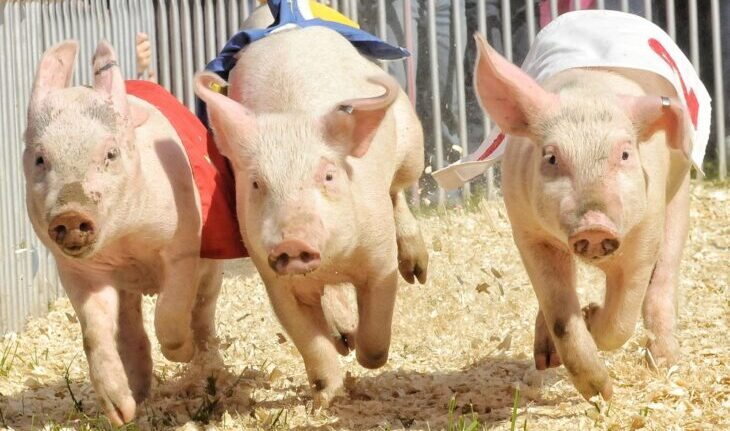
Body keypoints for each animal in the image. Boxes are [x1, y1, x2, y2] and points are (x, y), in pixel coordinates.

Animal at [23, 41, 223, 425]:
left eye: (110, 154)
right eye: (40, 159)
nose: (71, 214)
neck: (125, 243)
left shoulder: (182, 246)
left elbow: (170, 313)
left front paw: (181, 352)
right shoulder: (77, 271)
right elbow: (95, 332)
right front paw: (120, 414)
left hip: (211, 271)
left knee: (203, 312)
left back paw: (206, 366)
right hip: (126, 290)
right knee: (130, 329)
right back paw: (139, 395)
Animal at [194, 26, 428, 405]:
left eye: (329, 176)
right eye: (257, 184)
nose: (292, 241)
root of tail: (288, 27)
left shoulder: (379, 258)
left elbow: (377, 334)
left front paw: (364, 358)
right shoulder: (275, 279)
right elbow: (310, 341)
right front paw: (329, 396)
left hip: (411, 146)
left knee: (398, 190)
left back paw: (417, 273)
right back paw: (343, 338)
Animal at [472, 33, 692, 400]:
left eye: (625, 154)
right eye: (551, 157)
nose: (594, 226)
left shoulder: (645, 232)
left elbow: (621, 318)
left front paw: (591, 317)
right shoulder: (528, 232)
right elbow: (561, 313)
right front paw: (598, 391)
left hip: (677, 199)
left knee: (663, 279)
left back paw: (665, 363)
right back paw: (545, 359)